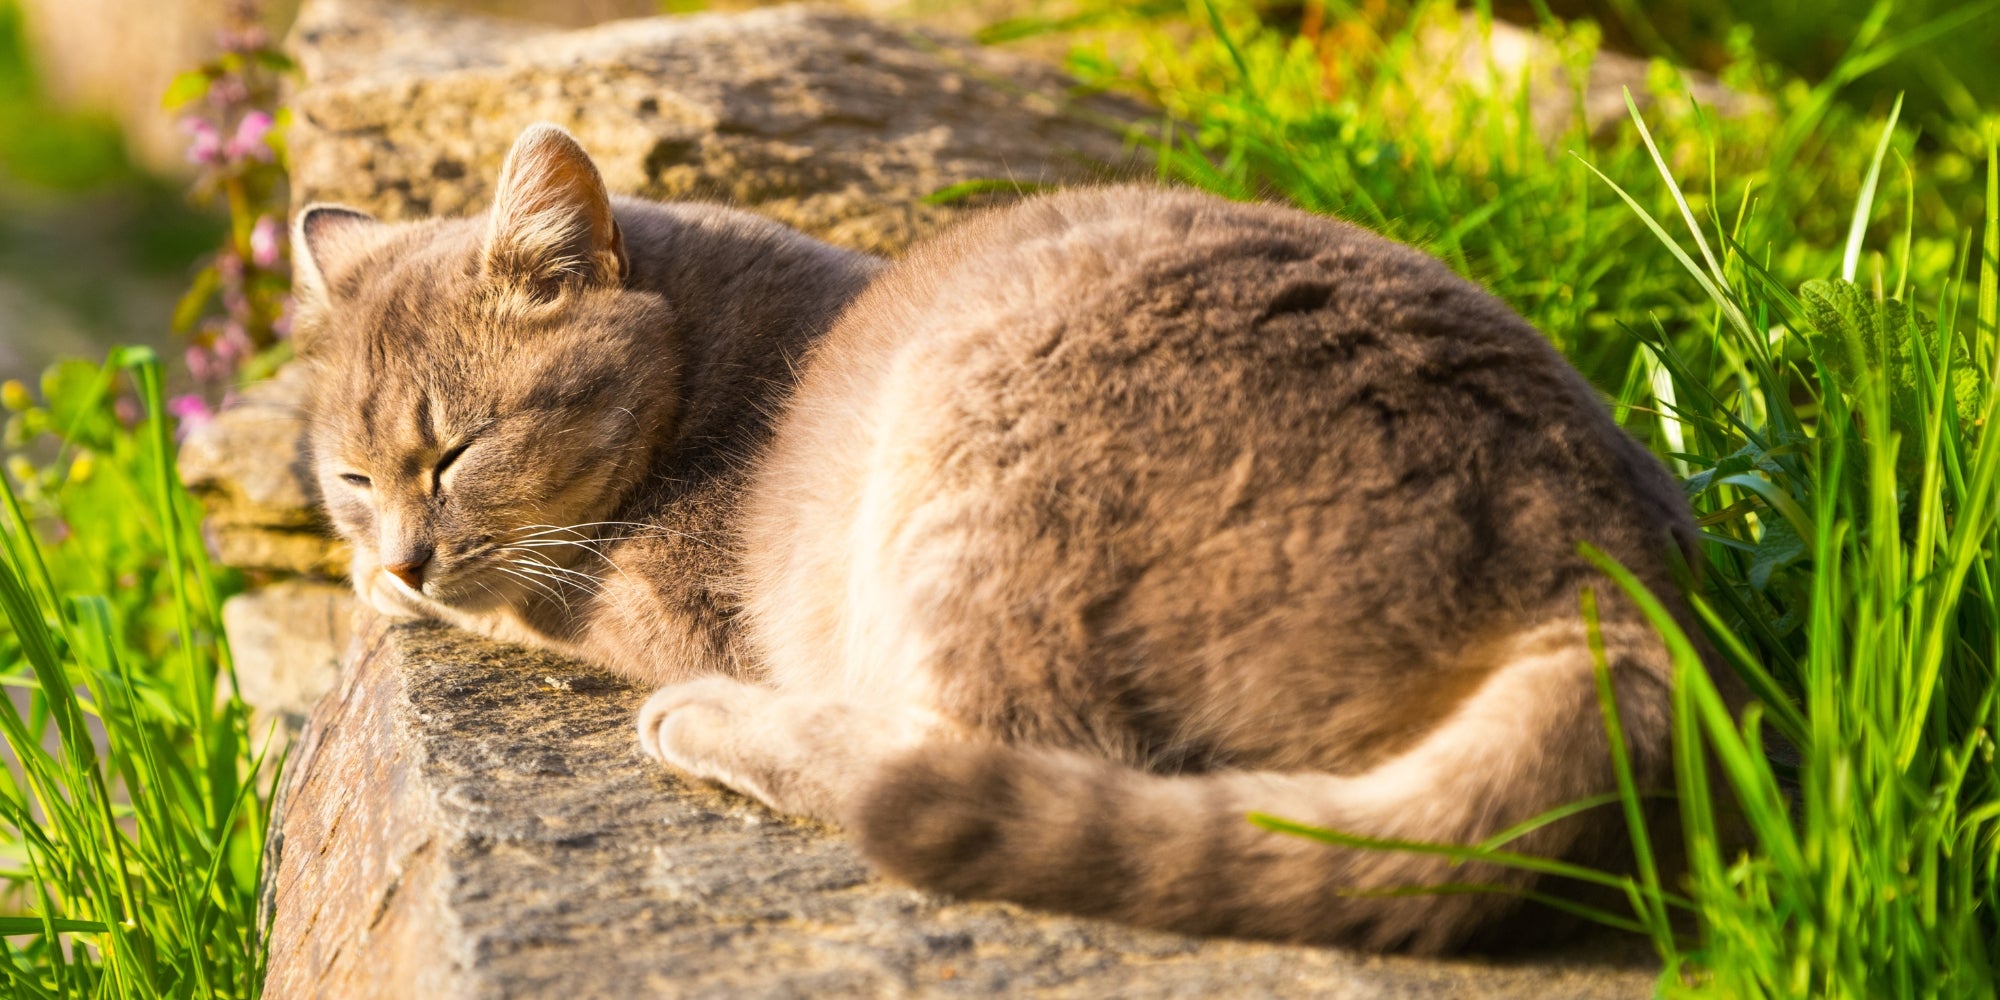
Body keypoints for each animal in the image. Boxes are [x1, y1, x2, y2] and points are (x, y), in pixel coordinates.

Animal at [292, 121, 1720, 948]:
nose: (401, 547)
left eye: (455, 451)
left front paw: (400, 590)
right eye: (352, 474)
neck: (704, 355)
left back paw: (712, 726)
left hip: (974, 463)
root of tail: (1614, 586)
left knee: (959, 756)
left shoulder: (657, 596)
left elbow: (529, 594)